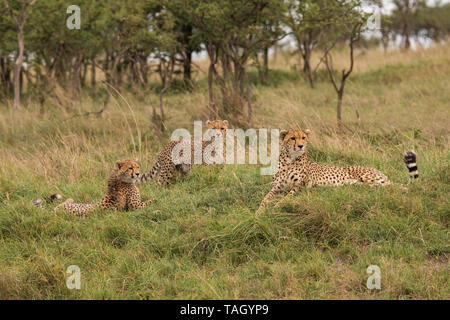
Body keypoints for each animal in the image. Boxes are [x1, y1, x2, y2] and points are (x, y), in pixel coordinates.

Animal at [258, 129, 420, 211]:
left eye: (303, 137)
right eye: (293, 138)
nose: (300, 146)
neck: (289, 159)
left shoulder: (301, 186)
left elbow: (286, 197)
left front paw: (277, 205)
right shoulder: (277, 187)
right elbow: (265, 198)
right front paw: (259, 211)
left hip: (368, 177)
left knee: (394, 186)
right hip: (357, 183)